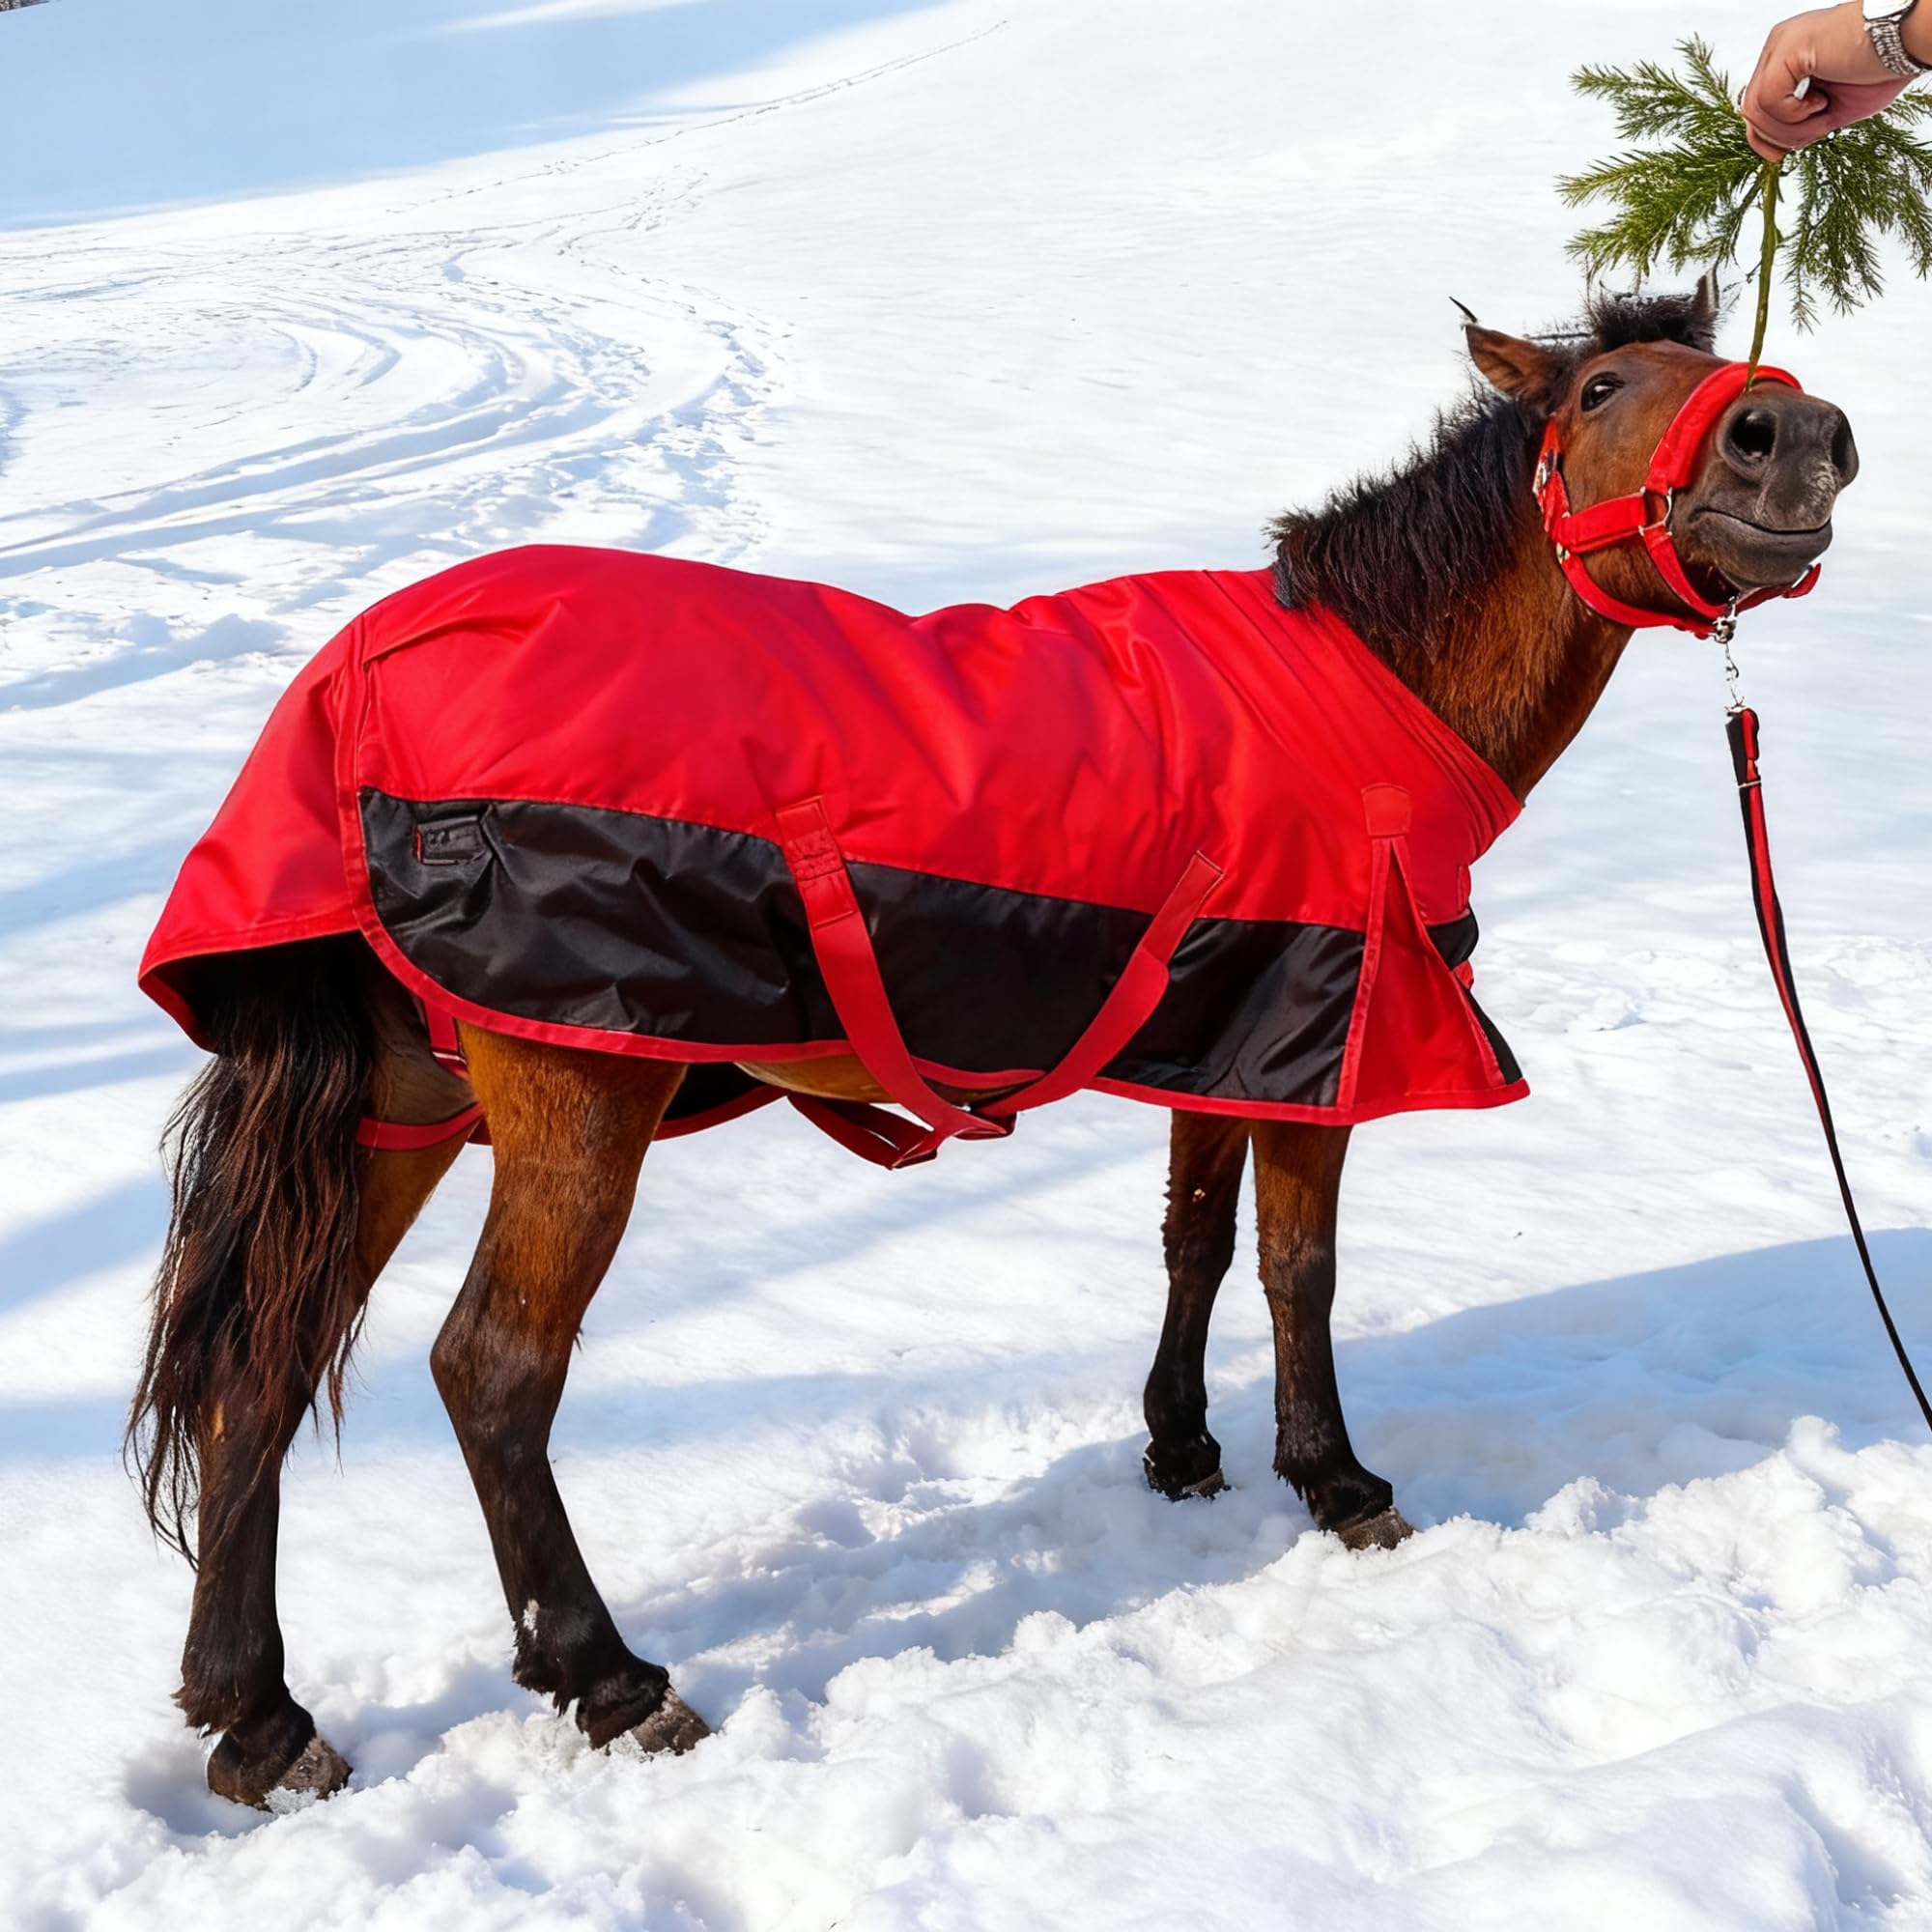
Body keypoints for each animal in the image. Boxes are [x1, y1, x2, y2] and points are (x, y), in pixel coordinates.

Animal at [127, 277, 1858, 1809]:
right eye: (1601, 389)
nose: (1798, 431)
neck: (1374, 680)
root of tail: (352, 688)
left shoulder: (1223, 1032)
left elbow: (1194, 1242)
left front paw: (1183, 1450)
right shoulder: (1326, 1034)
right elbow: (1299, 1269)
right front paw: (1339, 1484)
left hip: (400, 1108)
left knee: (262, 1365)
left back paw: (258, 1718)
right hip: (577, 1095)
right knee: (491, 1370)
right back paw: (608, 1678)